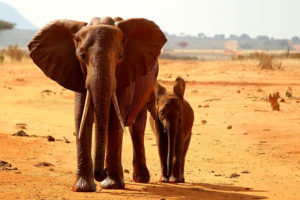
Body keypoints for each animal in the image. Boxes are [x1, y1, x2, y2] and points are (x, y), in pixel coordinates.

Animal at [27, 17, 166, 192]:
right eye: (82, 55)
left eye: (120, 56)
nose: (101, 173)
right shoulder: (77, 74)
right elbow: (81, 116)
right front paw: (82, 188)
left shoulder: (125, 75)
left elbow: (115, 120)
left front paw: (112, 185)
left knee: (137, 127)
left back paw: (140, 179)